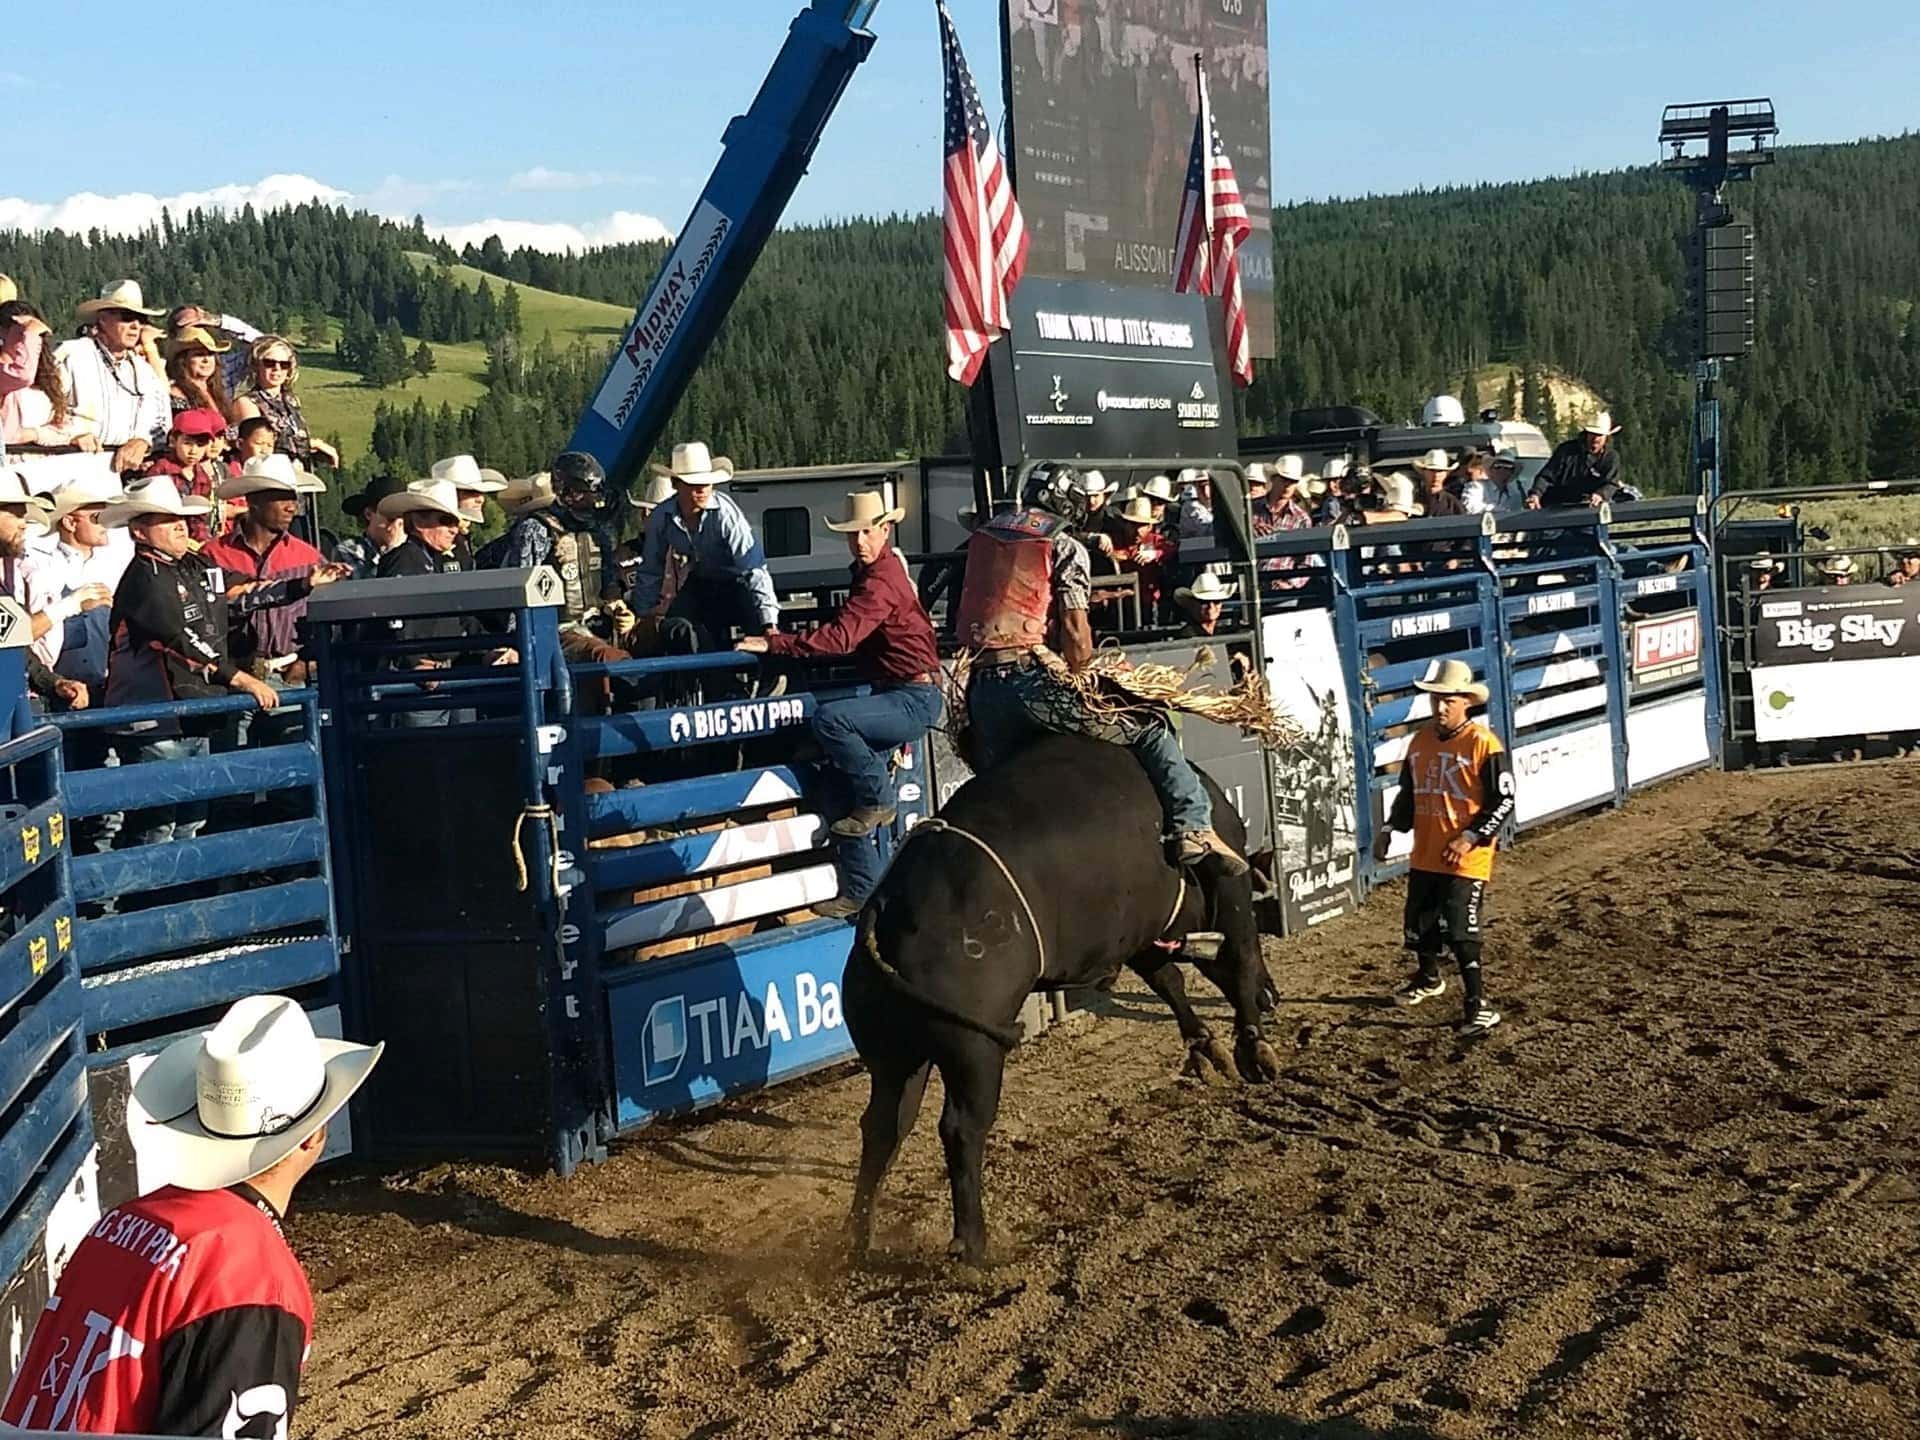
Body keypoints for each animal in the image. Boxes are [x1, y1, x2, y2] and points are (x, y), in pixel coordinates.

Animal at [848, 733, 1282, 1259]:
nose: (1273, 995)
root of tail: (885, 906)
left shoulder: (1138, 935)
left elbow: (1169, 981)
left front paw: (1205, 1046)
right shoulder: (1226, 892)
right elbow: (1238, 957)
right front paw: (1251, 1048)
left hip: (894, 1053)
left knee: (883, 1127)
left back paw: (855, 1238)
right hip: (974, 1051)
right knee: (961, 1128)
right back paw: (972, 1244)